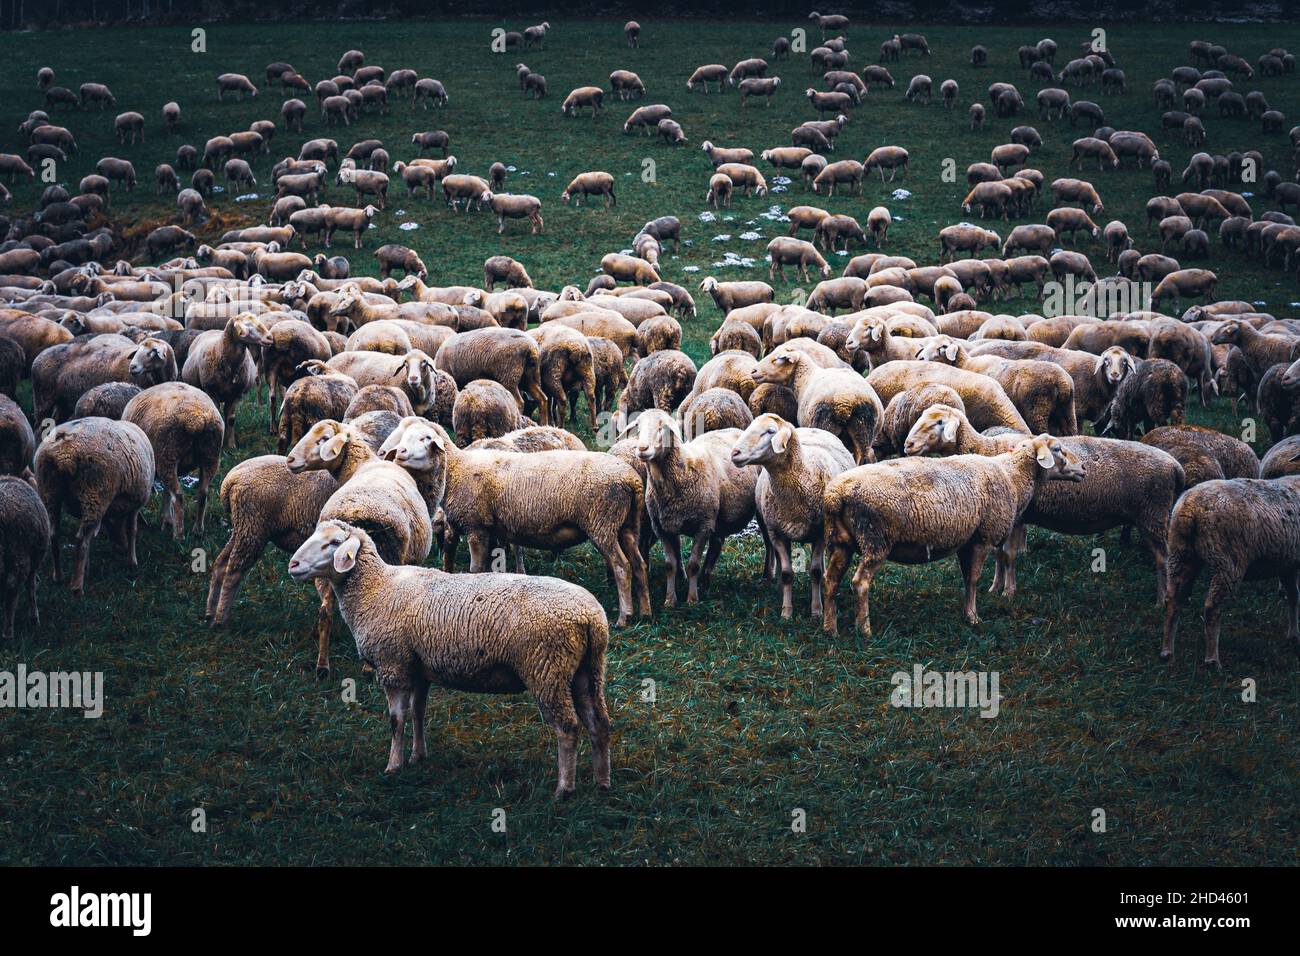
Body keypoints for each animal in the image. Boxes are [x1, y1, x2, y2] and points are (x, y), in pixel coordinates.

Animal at [34, 416, 154, 595]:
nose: (121, 548)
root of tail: (63, 449)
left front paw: (88, 568)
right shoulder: (137, 502)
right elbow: (132, 530)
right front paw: (132, 561)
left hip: (50, 492)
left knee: (55, 534)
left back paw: (59, 576)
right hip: (94, 492)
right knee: (81, 539)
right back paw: (77, 586)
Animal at [288, 520, 608, 796]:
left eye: (334, 543)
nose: (293, 565)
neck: (376, 588)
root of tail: (590, 617)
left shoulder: (393, 666)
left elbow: (396, 720)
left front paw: (393, 765)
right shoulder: (418, 668)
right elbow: (418, 712)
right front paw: (418, 756)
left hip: (547, 670)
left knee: (567, 728)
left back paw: (564, 789)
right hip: (587, 671)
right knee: (598, 722)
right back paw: (602, 782)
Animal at [624, 405, 759, 600]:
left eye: (662, 428)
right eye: (639, 428)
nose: (642, 448)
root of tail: (735, 429)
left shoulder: (703, 526)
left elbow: (693, 565)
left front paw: (692, 599)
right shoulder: (661, 528)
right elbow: (670, 565)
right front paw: (670, 599)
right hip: (719, 516)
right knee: (716, 545)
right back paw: (705, 580)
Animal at [821, 434, 1086, 634]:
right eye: (1058, 449)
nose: (1083, 468)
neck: (1014, 477)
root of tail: (836, 494)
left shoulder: (966, 540)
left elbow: (966, 577)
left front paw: (967, 612)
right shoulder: (983, 537)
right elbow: (974, 578)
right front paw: (973, 618)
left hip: (841, 542)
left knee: (830, 580)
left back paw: (830, 629)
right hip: (875, 540)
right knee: (860, 583)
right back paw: (864, 630)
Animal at [1164, 476, 1300, 671]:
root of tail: (1190, 508)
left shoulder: (1287, 563)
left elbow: (1293, 596)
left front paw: (1293, 635)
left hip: (1180, 553)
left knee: (1173, 600)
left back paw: (1167, 652)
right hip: (1228, 562)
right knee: (1212, 607)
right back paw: (1212, 659)